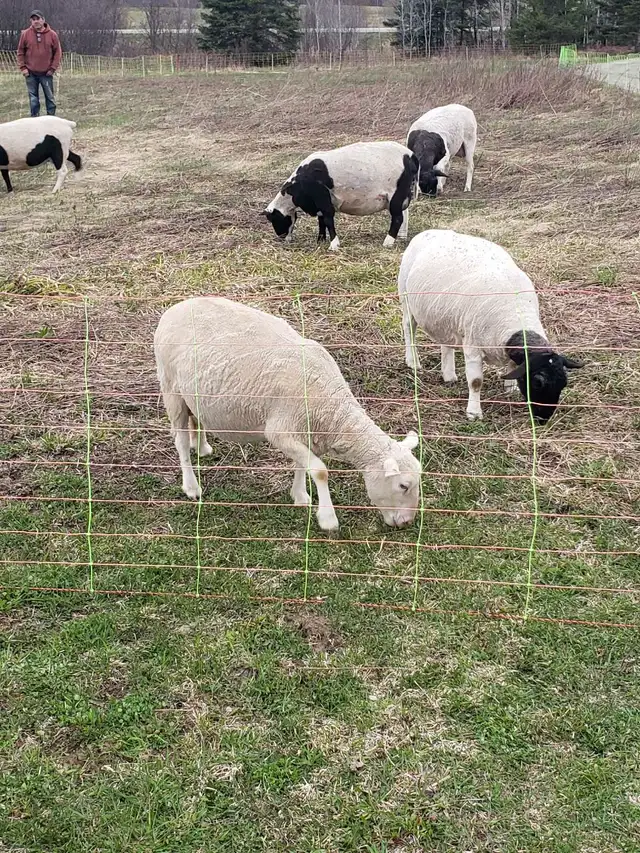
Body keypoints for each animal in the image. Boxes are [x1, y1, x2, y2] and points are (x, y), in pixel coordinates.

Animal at [155, 296, 422, 531]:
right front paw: (327, 519)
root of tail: (176, 307)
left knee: (195, 419)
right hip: (170, 387)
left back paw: (201, 447)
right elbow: (320, 471)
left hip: (193, 394)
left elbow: (303, 465)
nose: (407, 522)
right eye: (403, 485)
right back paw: (191, 486)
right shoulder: (280, 431)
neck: (333, 411)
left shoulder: (306, 431)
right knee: (179, 439)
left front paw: (300, 496)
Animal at [262, 141, 419, 251]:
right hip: (402, 194)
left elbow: (327, 219)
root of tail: (410, 155)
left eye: (274, 219)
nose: (283, 238)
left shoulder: (322, 197)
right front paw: (320, 240)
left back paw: (388, 242)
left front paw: (334, 245)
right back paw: (402, 237)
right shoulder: (319, 202)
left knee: (397, 218)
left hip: (396, 193)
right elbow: (321, 220)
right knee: (404, 213)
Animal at [398, 230, 582, 422]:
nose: (543, 420)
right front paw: (474, 413)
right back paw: (413, 362)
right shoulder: (472, 346)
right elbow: (476, 382)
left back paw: (449, 375)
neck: (517, 314)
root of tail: (428, 232)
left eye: (564, 383)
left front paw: (511, 389)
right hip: (405, 297)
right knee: (408, 328)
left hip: (445, 315)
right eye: (538, 382)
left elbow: (512, 367)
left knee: (446, 340)